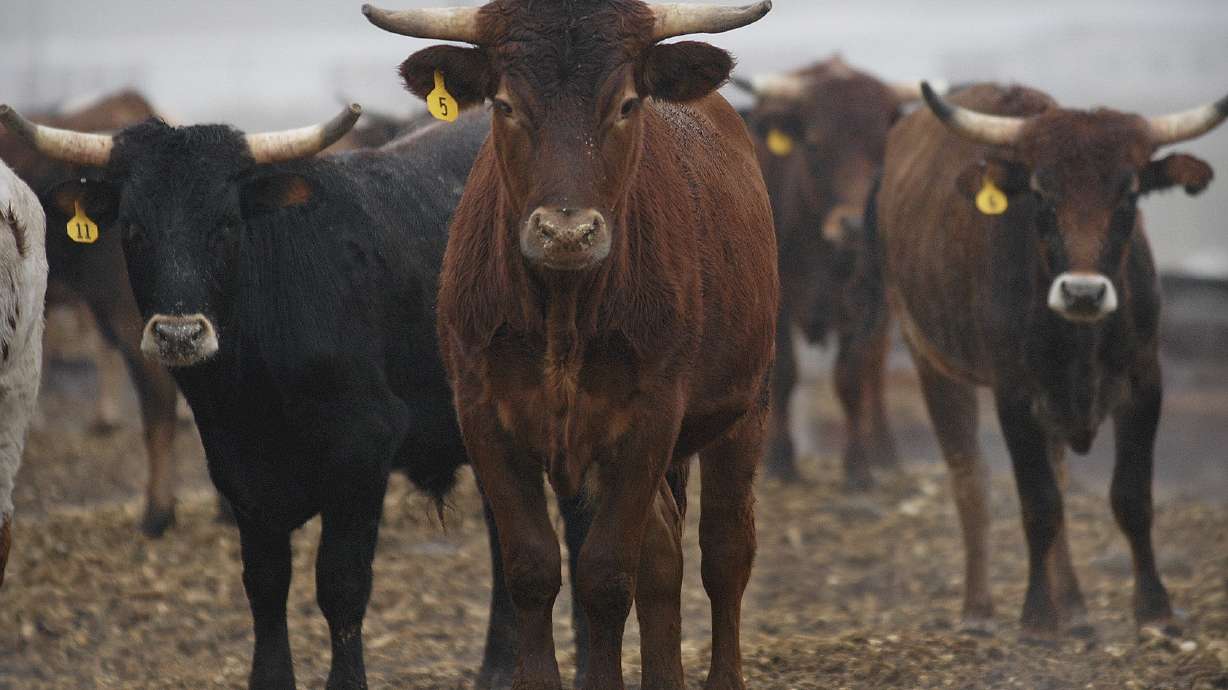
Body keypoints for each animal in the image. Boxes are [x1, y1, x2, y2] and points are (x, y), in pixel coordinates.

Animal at [364, 1, 778, 688]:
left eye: (627, 104)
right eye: (504, 104)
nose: (566, 232)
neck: (562, 310)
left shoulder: (649, 420)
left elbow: (606, 575)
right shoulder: (484, 417)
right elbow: (533, 568)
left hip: (745, 409)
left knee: (725, 552)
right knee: (664, 554)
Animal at [731, 56, 928, 487]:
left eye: (881, 146)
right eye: (815, 143)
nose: (853, 224)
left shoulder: (862, 304)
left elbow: (851, 377)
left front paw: (858, 468)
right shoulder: (779, 303)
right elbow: (785, 375)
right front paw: (781, 460)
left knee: (874, 370)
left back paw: (885, 451)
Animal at [872, 81, 1226, 637]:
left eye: (1129, 195)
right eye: (1040, 194)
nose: (1082, 293)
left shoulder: (1145, 382)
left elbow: (1131, 497)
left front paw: (1154, 608)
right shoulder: (1015, 394)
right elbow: (1038, 503)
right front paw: (1037, 617)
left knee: (1056, 473)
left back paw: (1075, 605)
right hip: (929, 358)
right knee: (970, 478)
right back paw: (978, 610)